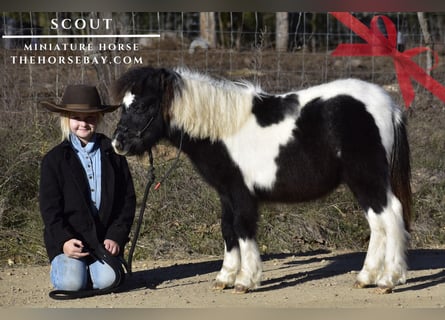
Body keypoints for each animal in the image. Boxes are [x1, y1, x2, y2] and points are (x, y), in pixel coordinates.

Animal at [110, 66, 410, 294]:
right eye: (124, 105)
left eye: (143, 105)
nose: (118, 144)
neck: (223, 128)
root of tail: (388, 105)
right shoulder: (226, 194)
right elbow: (228, 230)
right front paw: (225, 277)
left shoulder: (241, 193)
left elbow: (243, 229)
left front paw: (245, 280)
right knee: (378, 224)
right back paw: (366, 277)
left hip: (366, 177)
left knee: (390, 216)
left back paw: (388, 280)